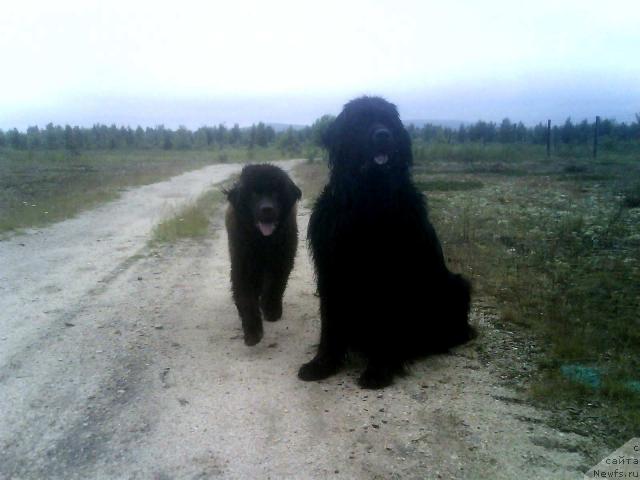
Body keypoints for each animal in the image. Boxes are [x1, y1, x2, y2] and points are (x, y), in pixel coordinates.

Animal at [225, 164, 302, 344]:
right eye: (254, 194)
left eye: (275, 192)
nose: (267, 209)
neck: (263, 240)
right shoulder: (243, 265)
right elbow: (246, 298)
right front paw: (252, 332)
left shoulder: (282, 260)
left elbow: (276, 285)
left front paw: (271, 310)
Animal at [298, 95, 472, 388]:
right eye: (361, 121)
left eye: (388, 121)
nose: (383, 135)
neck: (368, 199)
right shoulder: (331, 269)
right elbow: (330, 321)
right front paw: (322, 364)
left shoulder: (392, 273)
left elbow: (387, 322)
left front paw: (379, 369)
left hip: (456, 285)